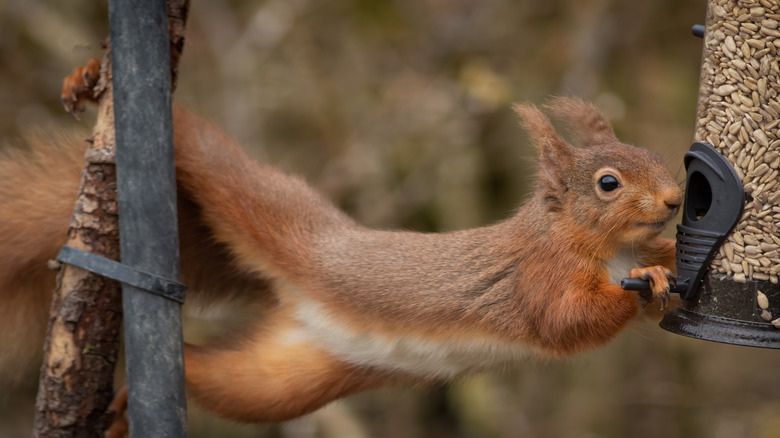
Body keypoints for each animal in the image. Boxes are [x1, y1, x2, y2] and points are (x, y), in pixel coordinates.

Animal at [0, 60, 680, 426]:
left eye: (657, 156)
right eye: (609, 183)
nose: (678, 201)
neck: (595, 243)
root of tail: (296, 291)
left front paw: (673, 270)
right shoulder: (536, 276)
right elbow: (565, 320)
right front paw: (642, 287)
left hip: (287, 382)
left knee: (214, 373)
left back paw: (131, 396)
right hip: (258, 199)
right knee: (199, 146)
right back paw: (92, 78)